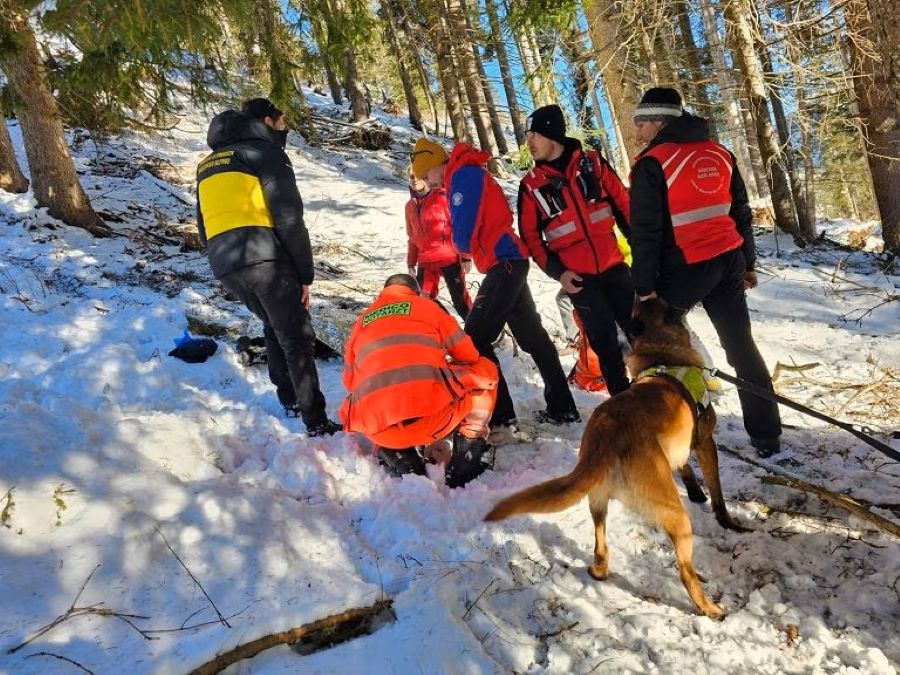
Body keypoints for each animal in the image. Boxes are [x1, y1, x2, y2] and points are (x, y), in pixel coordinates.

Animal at [486, 298, 744, 620]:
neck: (661, 349)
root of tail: (605, 435)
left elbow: (685, 466)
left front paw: (696, 491)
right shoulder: (705, 443)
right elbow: (717, 492)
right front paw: (726, 519)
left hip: (597, 501)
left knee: (601, 548)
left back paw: (599, 571)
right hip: (675, 514)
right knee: (685, 572)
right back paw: (710, 608)